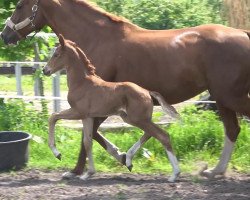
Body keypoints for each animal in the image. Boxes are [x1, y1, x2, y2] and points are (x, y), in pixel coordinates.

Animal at [43, 35, 180, 182]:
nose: (45, 70)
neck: (81, 83)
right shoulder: (88, 117)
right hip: (132, 118)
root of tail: (147, 92)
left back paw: (174, 174)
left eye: (56, 54)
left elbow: (53, 117)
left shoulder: (78, 112)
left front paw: (57, 153)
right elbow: (87, 142)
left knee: (162, 135)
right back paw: (129, 160)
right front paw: (89, 173)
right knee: (150, 134)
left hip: (138, 119)